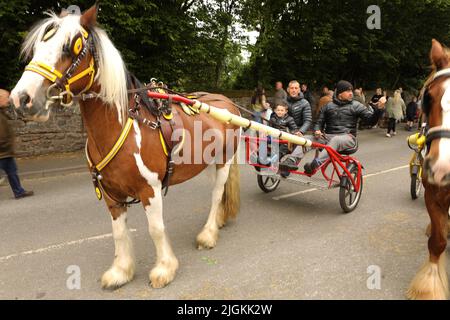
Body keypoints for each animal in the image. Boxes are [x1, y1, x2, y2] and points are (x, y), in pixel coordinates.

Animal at [8, 4, 241, 290]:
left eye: (70, 47)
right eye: (37, 47)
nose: (21, 99)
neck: (122, 127)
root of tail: (225, 101)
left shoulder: (150, 189)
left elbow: (156, 229)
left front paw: (164, 268)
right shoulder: (110, 193)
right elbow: (118, 232)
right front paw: (121, 270)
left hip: (224, 160)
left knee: (217, 193)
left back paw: (208, 233)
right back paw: (217, 222)